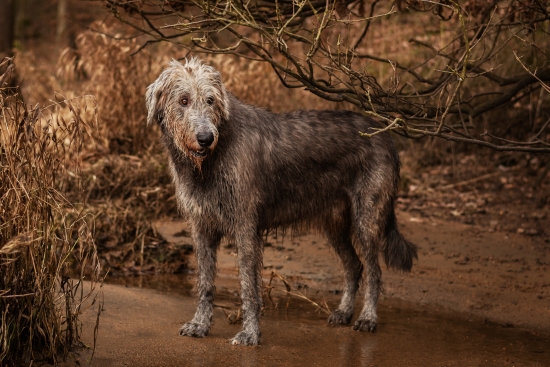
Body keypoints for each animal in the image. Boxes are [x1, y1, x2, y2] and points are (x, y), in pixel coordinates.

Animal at [147, 56, 418, 344]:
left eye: (210, 100)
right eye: (183, 100)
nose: (205, 138)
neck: (212, 159)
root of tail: (386, 134)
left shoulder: (245, 227)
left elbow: (249, 286)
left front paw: (250, 333)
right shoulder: (202, 228)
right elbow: (205, 283)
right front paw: (199, 324)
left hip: (366, 217)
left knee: (374, 271)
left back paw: (368, 318)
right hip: (334, 224)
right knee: (354, 265)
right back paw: (344, 312)